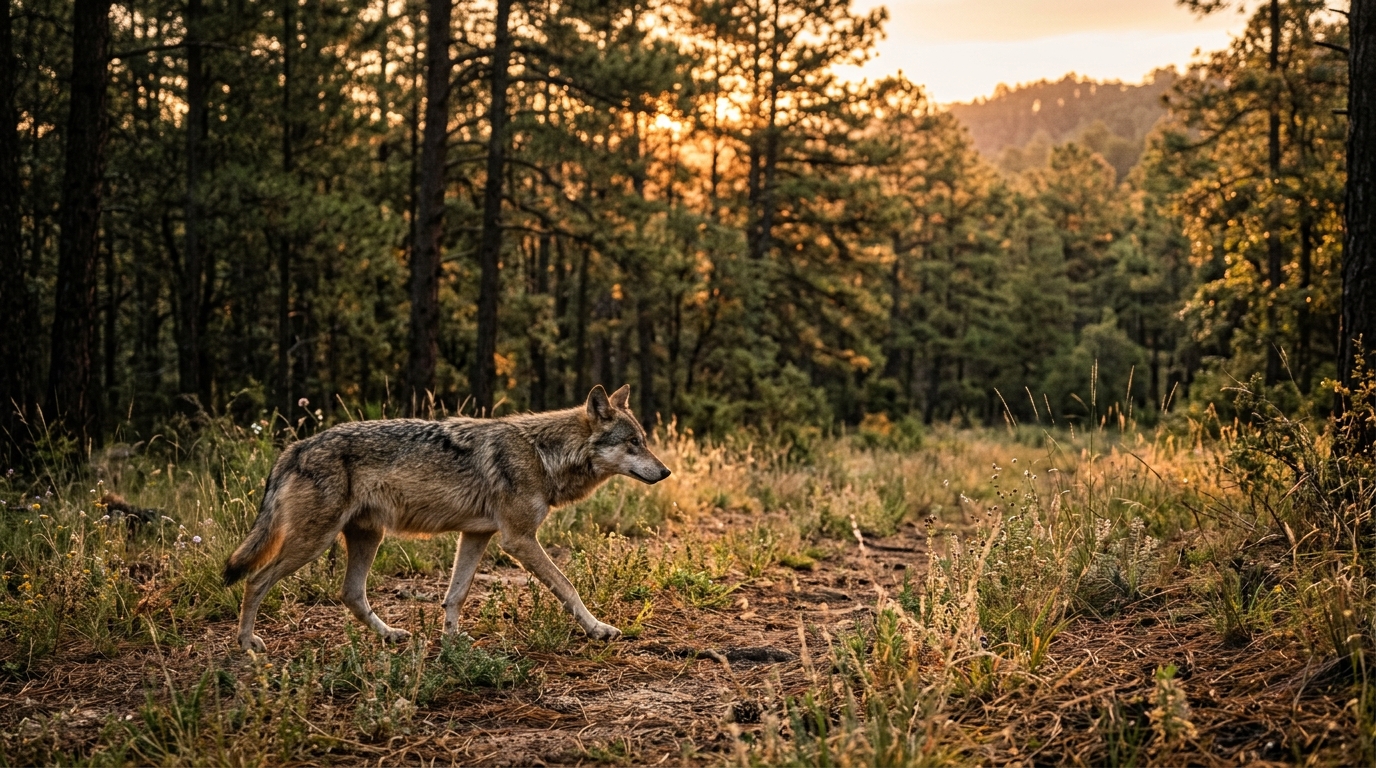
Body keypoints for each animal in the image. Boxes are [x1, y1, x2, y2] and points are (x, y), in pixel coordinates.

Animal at [223, 384, 670, 652]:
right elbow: (567, 586)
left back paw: (391, 635)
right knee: (255, 580)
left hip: (367, 537)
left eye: (644, 441)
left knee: (350, 594)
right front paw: (598, 629)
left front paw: (453, 642)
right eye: (633, 443)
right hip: (313, 543)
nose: (665, 472)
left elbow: (456, 594)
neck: (544, 453)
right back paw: (246, 643)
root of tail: (296, 447)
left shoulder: (476, 536)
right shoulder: (519, 539)